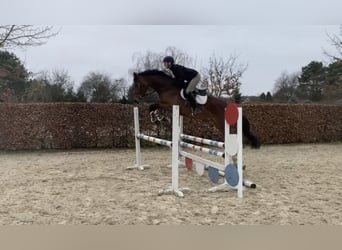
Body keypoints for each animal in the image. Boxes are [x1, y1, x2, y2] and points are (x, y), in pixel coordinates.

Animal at [132, 69, 260, 148]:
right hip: (218, 123)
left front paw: (156, 119)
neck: (166, 87)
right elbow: (154, 107)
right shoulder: (166, 105)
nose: (135, 100)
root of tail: (227, 105)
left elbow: (153, 105)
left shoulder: (170, 105)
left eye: (137, 85)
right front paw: (159, 118)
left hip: (222, 123)